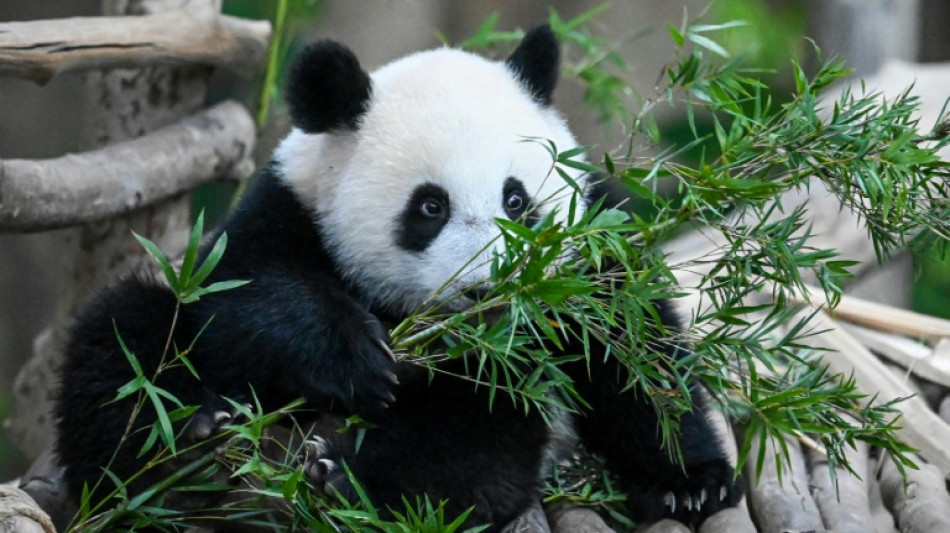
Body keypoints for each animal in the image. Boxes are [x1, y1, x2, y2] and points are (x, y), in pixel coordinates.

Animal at [54, 23, 744, 528]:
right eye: (429, 208)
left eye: (517, 199)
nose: (490, 292)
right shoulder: (290, 212)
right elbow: (239, 295)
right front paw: (353, 356)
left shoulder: (588, 247)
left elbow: (631, 352)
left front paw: (688, 483)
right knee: (125, 347)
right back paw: (187, 446)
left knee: (473, 443)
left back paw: (343, 481)